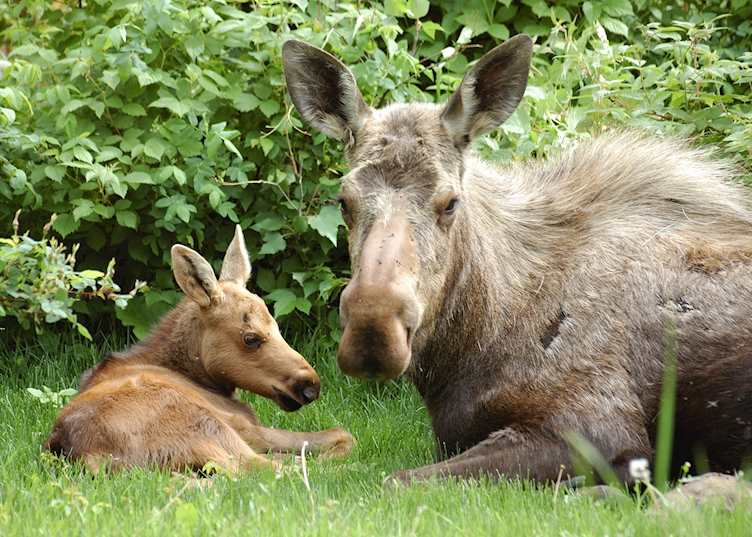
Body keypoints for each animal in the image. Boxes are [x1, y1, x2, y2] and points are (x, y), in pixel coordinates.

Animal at [45, 226, 354, 473]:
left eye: (276, 325)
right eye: (251, 338)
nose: (310, 385)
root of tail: (89, 457)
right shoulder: (245, 427)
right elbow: (343, 435)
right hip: (212, 428)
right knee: (265, 469)